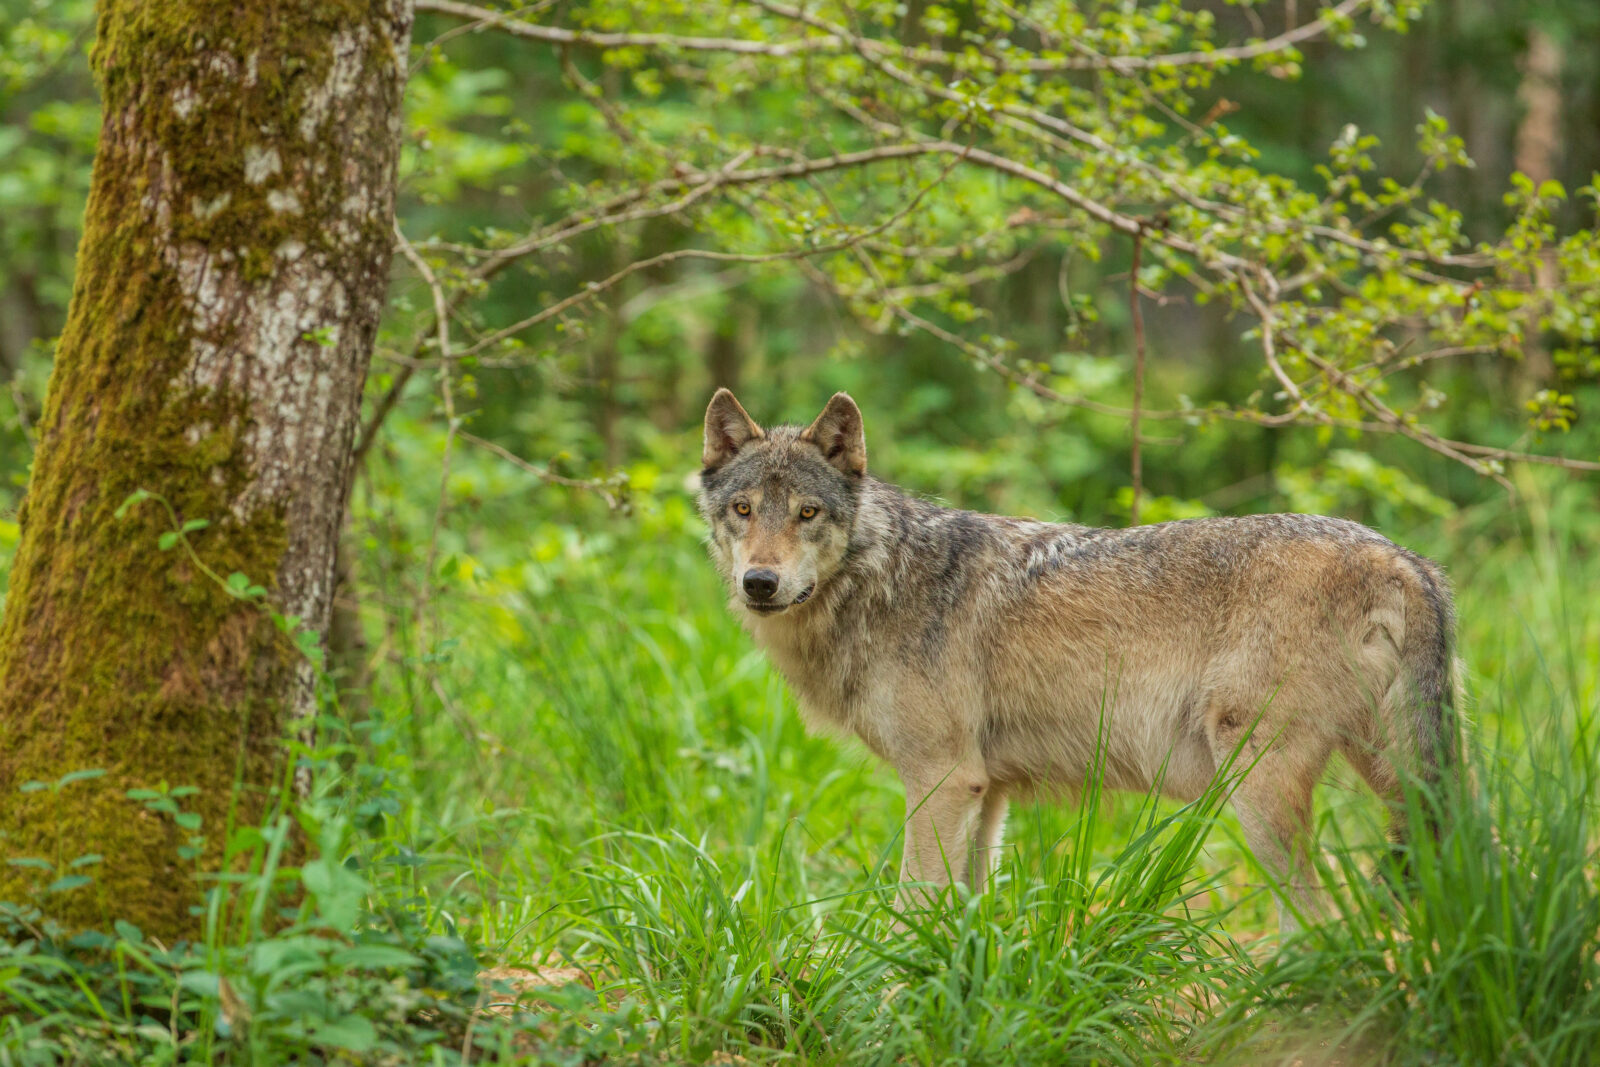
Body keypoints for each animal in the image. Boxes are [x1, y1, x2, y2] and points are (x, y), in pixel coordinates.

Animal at [697, 388, 1459, 928]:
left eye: (806, 513)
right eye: (743, 509)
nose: (759, 582)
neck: (880, 579)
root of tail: (1404, 558)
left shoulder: (942, 780)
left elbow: (912, 909)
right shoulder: (986, 790)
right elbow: (963, 916)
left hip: (1259, 789)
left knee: (1322, 919)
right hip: (1399, 781)